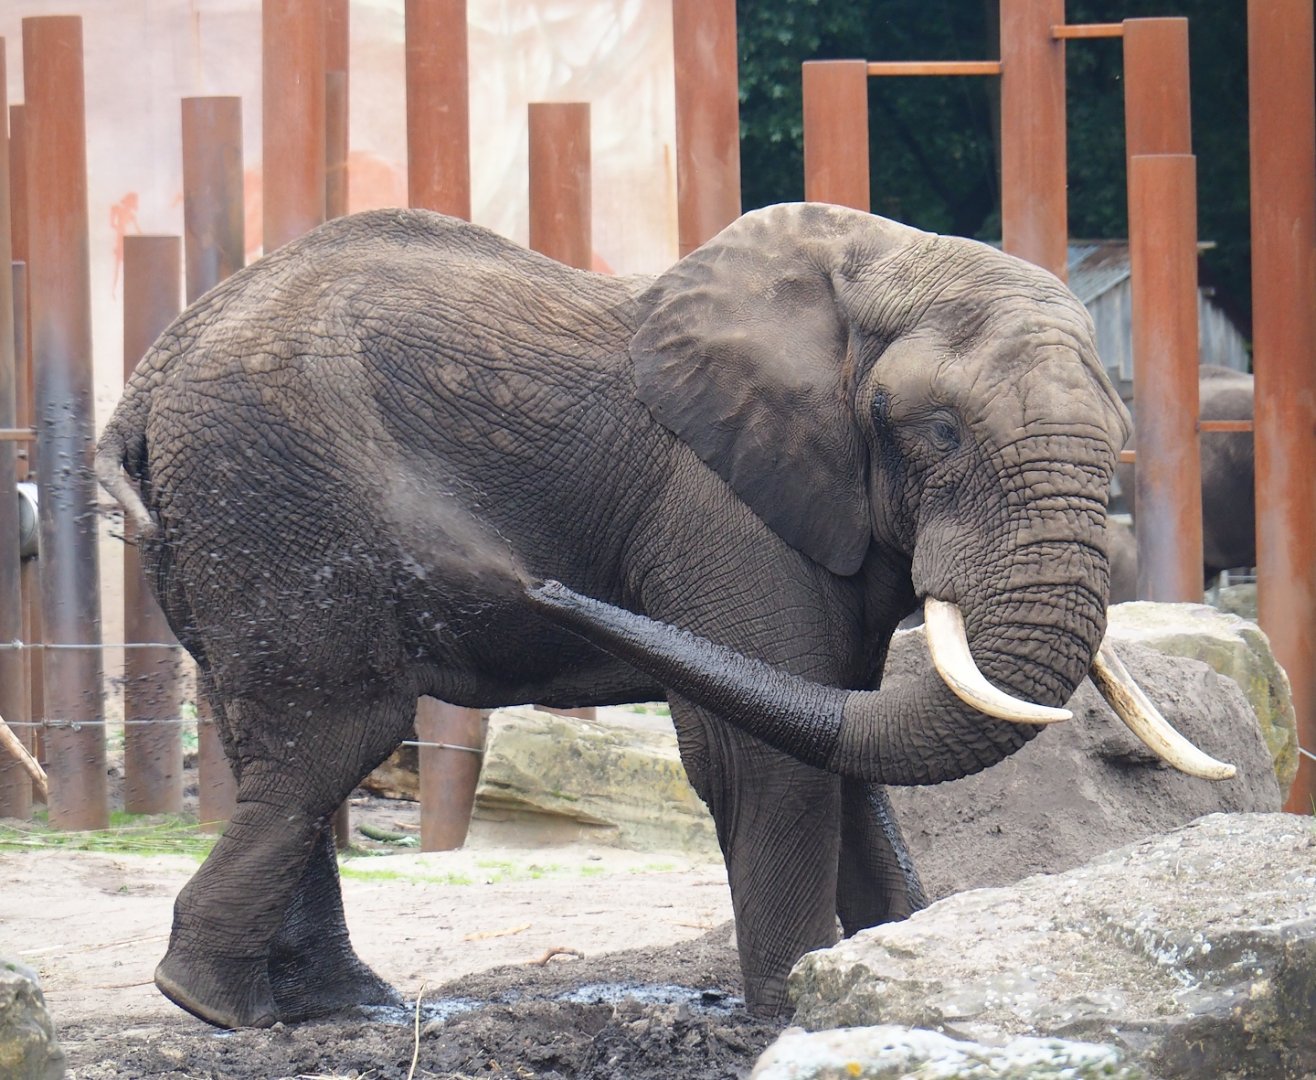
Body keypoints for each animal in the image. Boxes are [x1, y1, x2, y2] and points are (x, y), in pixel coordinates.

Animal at [96, 202, 1230, 1029]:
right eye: (941, 429)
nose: (526, 577)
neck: (872, 273)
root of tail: (145, 380)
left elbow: (834, 724)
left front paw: (901, 972)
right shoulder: (719, 502)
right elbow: (759, 751)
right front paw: (790, 1011)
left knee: (272, 739)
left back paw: (325, 1009)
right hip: (278, 496)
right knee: (335, 733)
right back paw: (226, 1009)